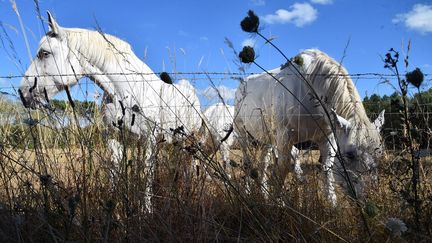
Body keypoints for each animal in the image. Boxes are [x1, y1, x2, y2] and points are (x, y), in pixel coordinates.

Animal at [18, 12, 202, 212]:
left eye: (44, 53)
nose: (23, 93)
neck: (125, 92)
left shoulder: (150, 140)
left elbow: (147, 174)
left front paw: (146, 211)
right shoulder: (114, 138)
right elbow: (115, 172)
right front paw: (114, 208)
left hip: (190, 139)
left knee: (190, 164)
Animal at [236, 48, 384, 204]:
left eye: (379, 154)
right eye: (350, 155)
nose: (367, 197)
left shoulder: (328, 139)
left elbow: (327, 168)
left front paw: (332, 203)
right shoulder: (284, 137)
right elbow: (283, 167)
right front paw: (278, 202)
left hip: (268, 138)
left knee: (263, 163)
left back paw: (264, 194)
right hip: (241, 133)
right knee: (247, 162)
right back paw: (247, 192)